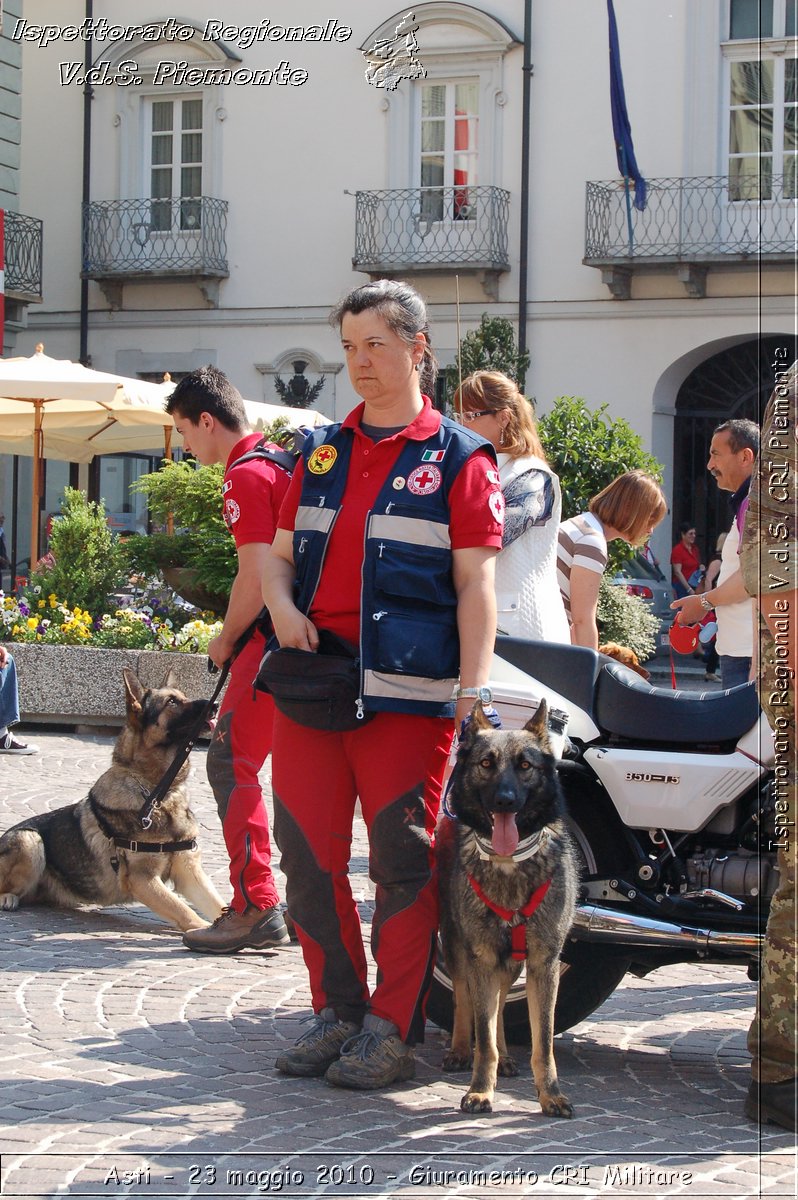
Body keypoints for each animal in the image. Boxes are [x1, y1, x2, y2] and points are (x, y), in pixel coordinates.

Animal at [0, 672, 224, 931]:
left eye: (183, 697)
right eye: (171, 702)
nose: (216, 705)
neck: (157, 794)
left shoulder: (189, 872)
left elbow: (218, 906)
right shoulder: (142, 879)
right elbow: (186, 913)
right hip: (30, 840)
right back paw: (8, 897)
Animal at [432, 700, 576, 1118]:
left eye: (525, 765)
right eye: (486, 763)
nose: (505, 800)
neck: (509, 863)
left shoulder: (544, 964)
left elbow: (543, 1043)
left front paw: (551, 1095)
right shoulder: (480, 956)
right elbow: (482, 1037)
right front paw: (481, 1090)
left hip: (511, 962)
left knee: (497, 1003)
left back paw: (508, 1057)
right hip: (458, 948)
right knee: (465, 997)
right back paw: (459, 1048)